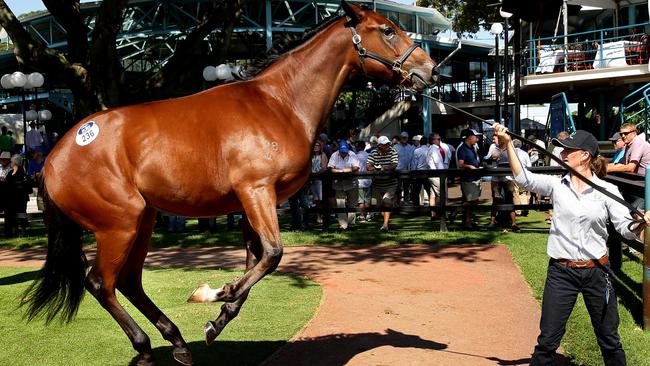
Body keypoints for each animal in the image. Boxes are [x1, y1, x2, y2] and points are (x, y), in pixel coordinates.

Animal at [22, 1, 436, 364]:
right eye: (387, 29)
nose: (430, 69)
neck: (279, 104)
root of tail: (55, 157)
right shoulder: (256, 191)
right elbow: (272, 253)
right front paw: (218, 291)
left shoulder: (251, 201)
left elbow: (258, 259)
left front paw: (219, 316)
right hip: (119, 224)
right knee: (100, 283)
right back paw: (144, 346)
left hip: (143, 221)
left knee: (129, 282)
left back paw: (177, 342)